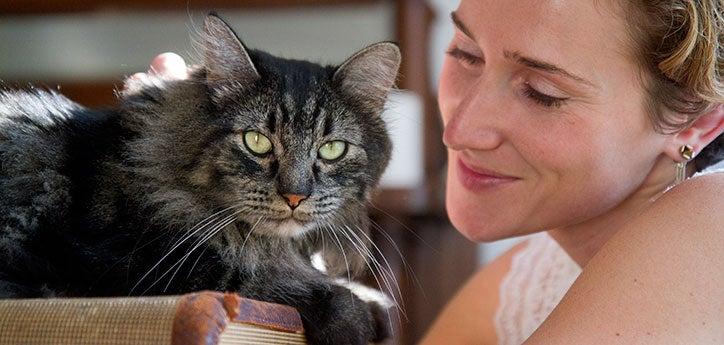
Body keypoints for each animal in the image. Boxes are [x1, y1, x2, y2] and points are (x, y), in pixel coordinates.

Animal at [0, 13, 402, 344]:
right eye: (256, 141)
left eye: (332, 149)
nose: (295, 195)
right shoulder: (124, 259)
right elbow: (252, 278)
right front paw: (353, 317)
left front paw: (375, 303)